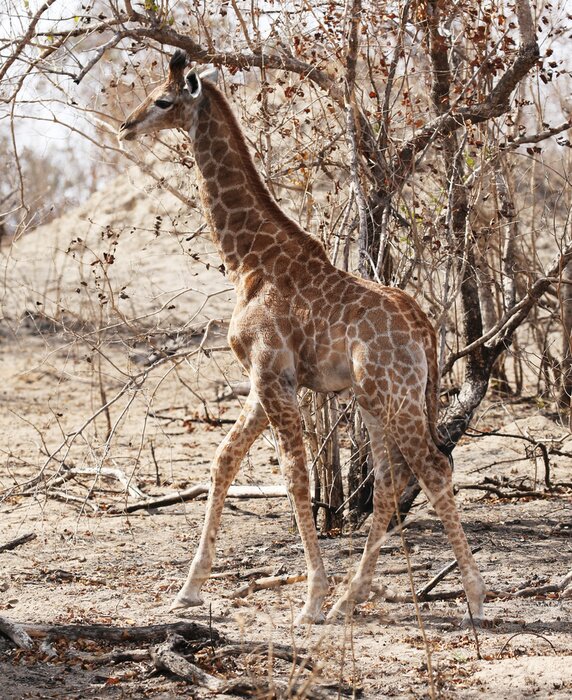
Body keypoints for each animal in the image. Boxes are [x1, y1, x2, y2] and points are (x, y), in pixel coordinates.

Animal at [118, 50, 486, 626]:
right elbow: (223, 459)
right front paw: (189, 589)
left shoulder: (273, 373)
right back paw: (350, 598)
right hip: (374, 400)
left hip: (397, 396)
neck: (249, 261)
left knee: (432, 467)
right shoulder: (261, 379)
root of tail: (427, 330)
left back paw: (472, 596)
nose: (126, 126)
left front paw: (310, 597)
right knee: (388, 484)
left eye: (162, 98)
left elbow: (296, 477)